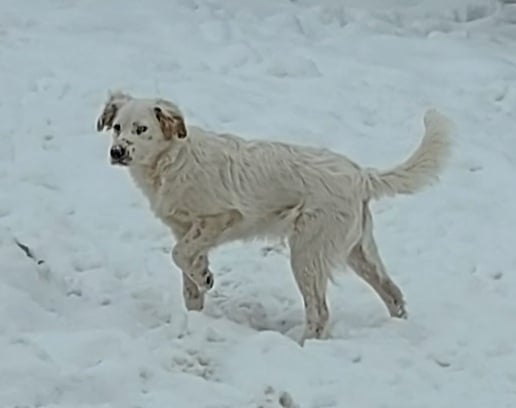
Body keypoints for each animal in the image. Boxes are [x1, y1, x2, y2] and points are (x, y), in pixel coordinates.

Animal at [95, 91, 452, 342]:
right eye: (117, 128)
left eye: (141, 129)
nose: (117, 152)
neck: (172, 160)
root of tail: (360, 174)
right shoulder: (183, 228)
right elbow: (187, 274)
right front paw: (196, 305)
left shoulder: (221, 216)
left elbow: (179, 255)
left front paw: (205, 278)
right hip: (358, 251)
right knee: (393, 292)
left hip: (307, 253)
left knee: (320, 312)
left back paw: (304, 344)